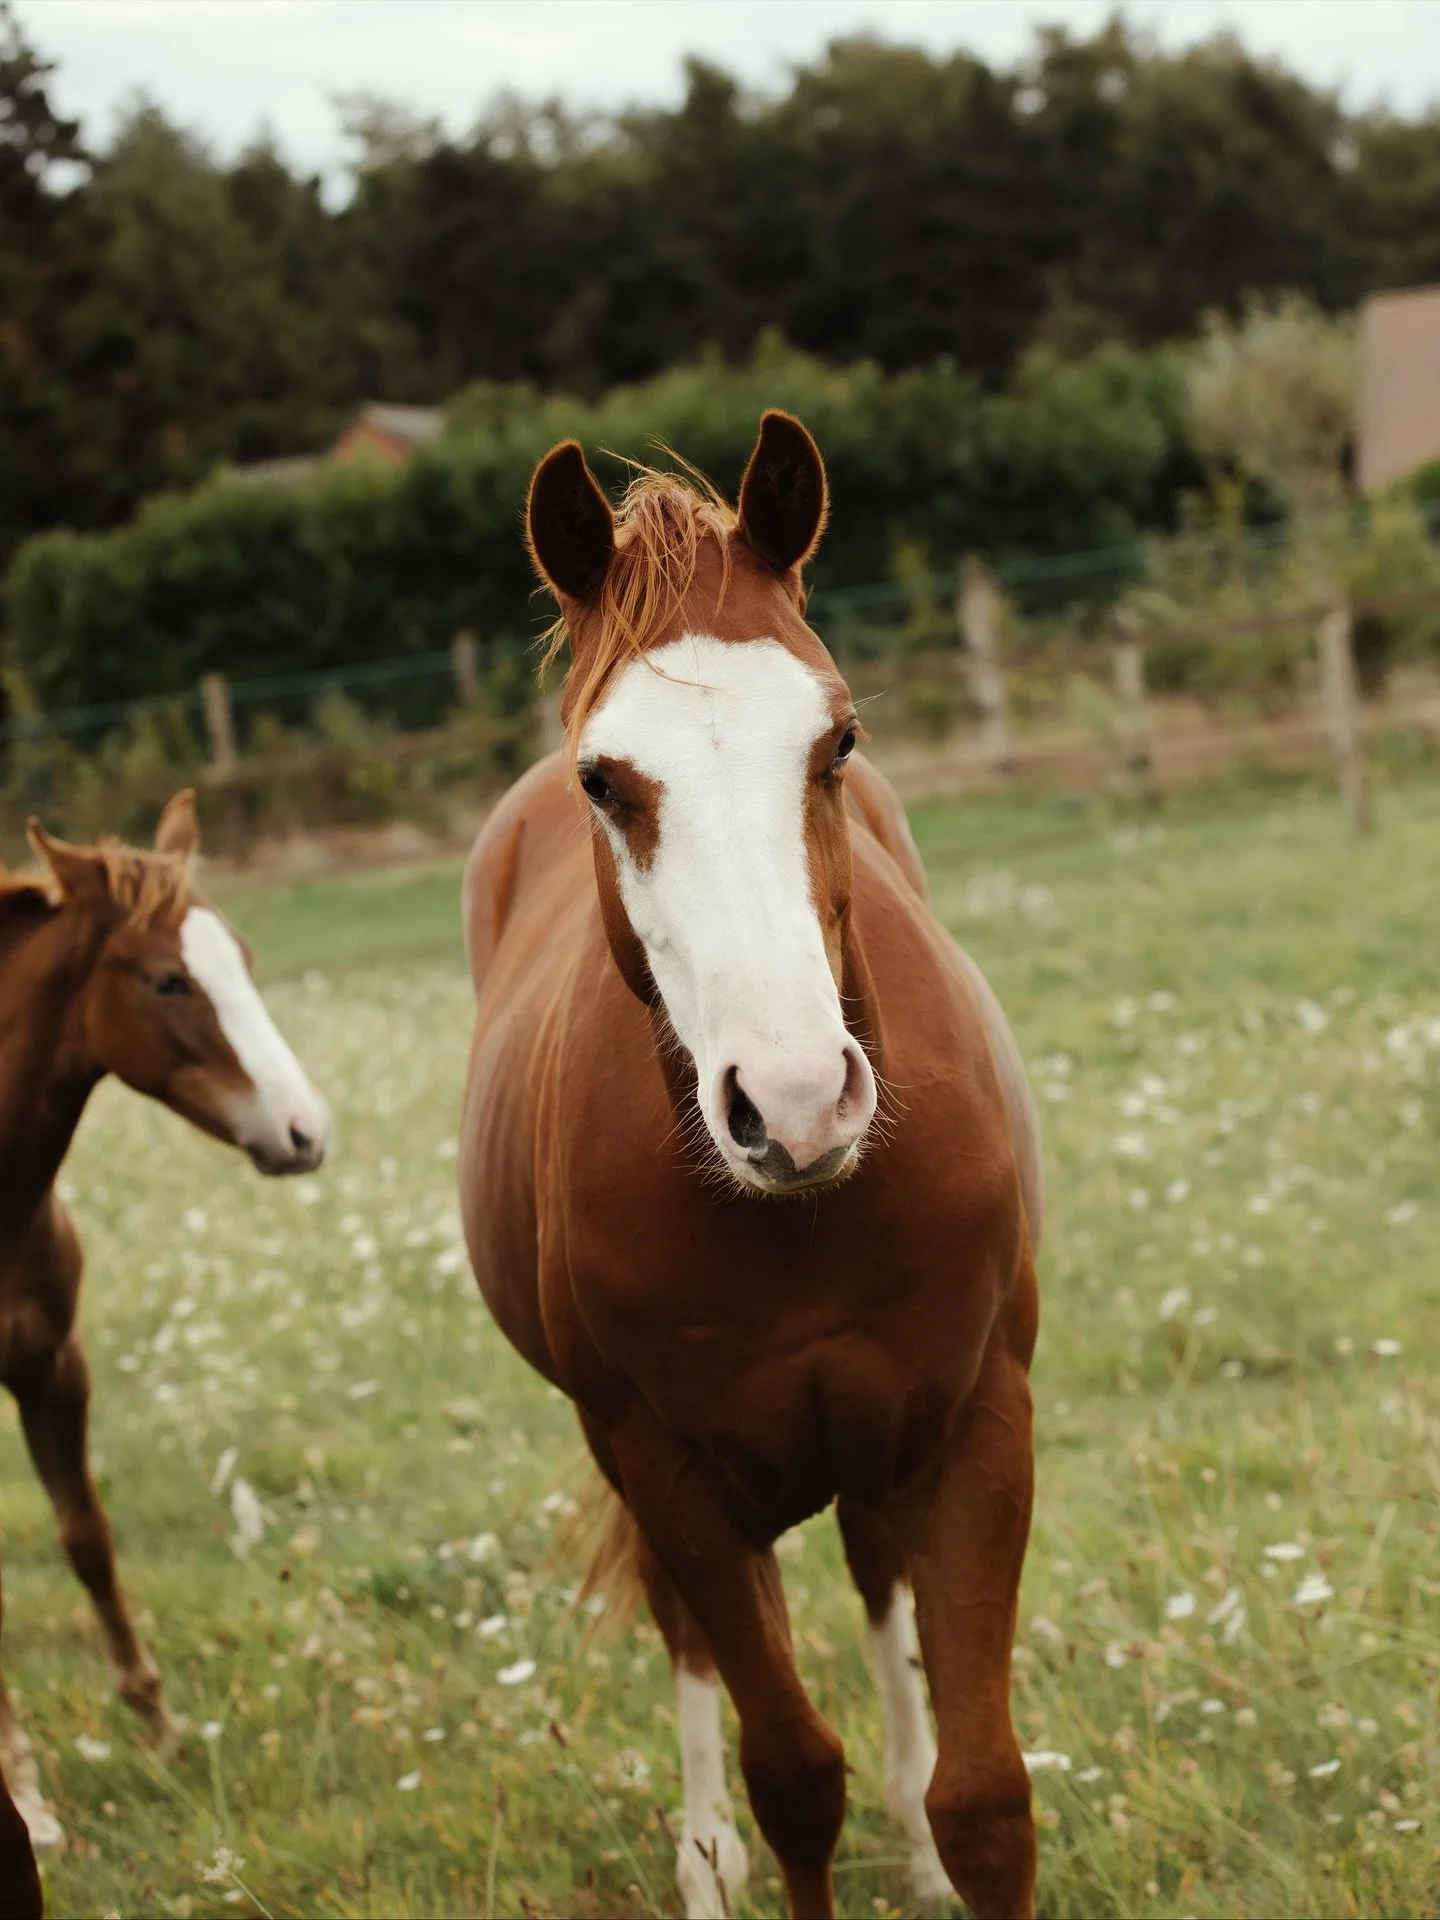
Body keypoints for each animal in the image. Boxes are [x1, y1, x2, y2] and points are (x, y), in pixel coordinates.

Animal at [0, 791, 330, 1853]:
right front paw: (21, 1789)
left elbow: (86, 1536)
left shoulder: (54, 1365)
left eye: (243, 959)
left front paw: (156, 1720)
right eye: (168, 981)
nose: (306, 1131)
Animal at [459, 414, 1043, 1919]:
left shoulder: (973, 1423)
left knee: (879, 1589)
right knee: (694, 1651)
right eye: (604, 780)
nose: (793, 1103)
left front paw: (941, 1836)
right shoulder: (675, 1478)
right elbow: (792, 1777)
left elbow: (985, 1800)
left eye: (836, 740)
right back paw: (704, 1858)